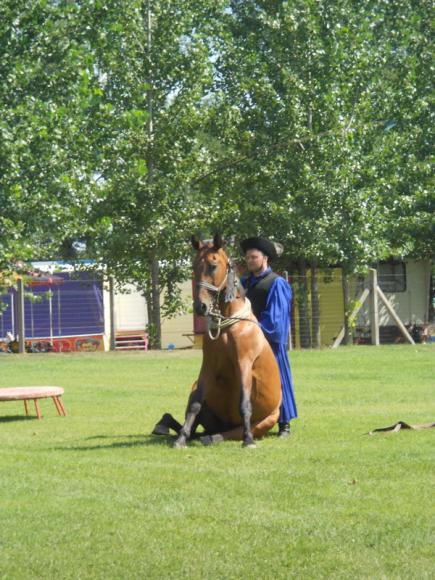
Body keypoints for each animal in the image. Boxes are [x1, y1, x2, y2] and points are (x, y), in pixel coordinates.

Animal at [153, 233, 282, 446]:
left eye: (213, 265)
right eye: (194, 266)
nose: (201, 307)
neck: (227, 328)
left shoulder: (244, 363)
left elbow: (244, 404)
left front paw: (248, 441)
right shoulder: (207, 367)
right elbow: (195, 405)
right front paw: (180, 440)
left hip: (265, 421)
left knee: (227, 433)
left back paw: (218, 437)